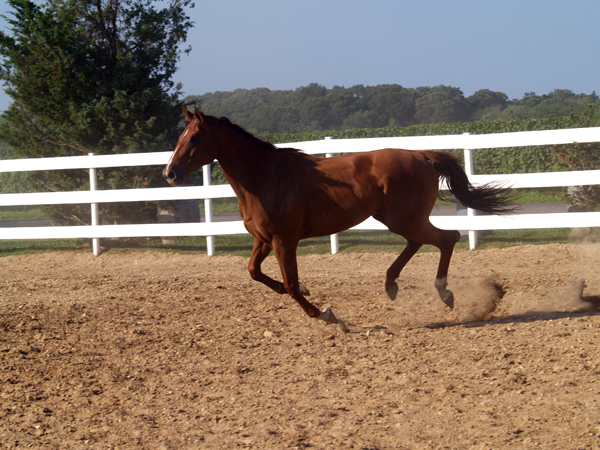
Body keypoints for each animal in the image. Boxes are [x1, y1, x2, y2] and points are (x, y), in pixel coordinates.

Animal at [165, 106, 516, 330]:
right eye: (180, 136)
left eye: (194, 138)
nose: (169, 173)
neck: (264, 177)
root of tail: (420, 155)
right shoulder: (263, 239)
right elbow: (255, 272)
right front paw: (309, 293)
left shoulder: (284, 240)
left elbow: (291, 284)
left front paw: (328, 315)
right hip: (397, 218)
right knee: (421, 241)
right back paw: (391, 284)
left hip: (404, 217)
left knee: (447, 238)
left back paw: (444, 292)